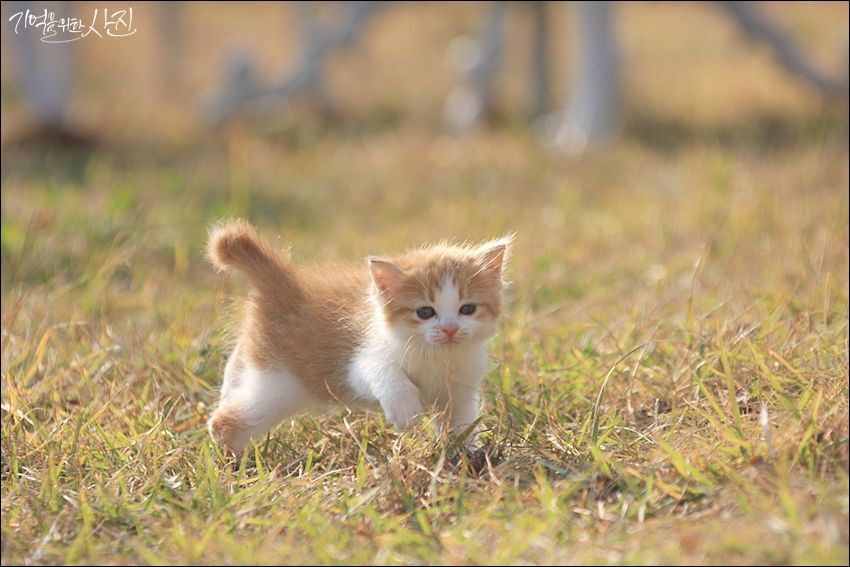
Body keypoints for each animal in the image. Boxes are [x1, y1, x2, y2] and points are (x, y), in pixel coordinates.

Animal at [205, 220, 510, 454]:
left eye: (467, 309)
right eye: (425, 312)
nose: (450, 329)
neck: (438, 357)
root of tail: (285, 282)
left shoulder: (461, 391)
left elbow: (461, 423)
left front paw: (467, 457)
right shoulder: (358, 363)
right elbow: (384, 373)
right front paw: (406, 411)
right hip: (277, 386)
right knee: (224, 422)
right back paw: (234, 463)